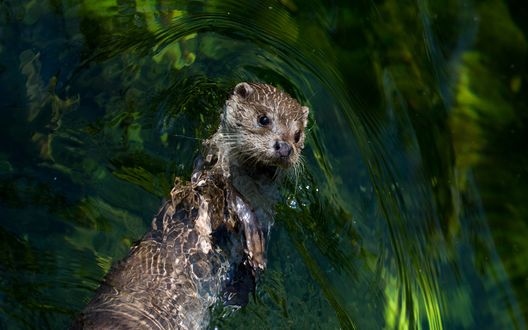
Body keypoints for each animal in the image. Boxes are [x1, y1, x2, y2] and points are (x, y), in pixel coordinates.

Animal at [72, 82, 308, 328]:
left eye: (298, 134)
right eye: (263, 119)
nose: (285, 147)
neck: (250, 189)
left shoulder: (265, 217)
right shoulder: (212, 186)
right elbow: (235, 210)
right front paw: (256, 250)